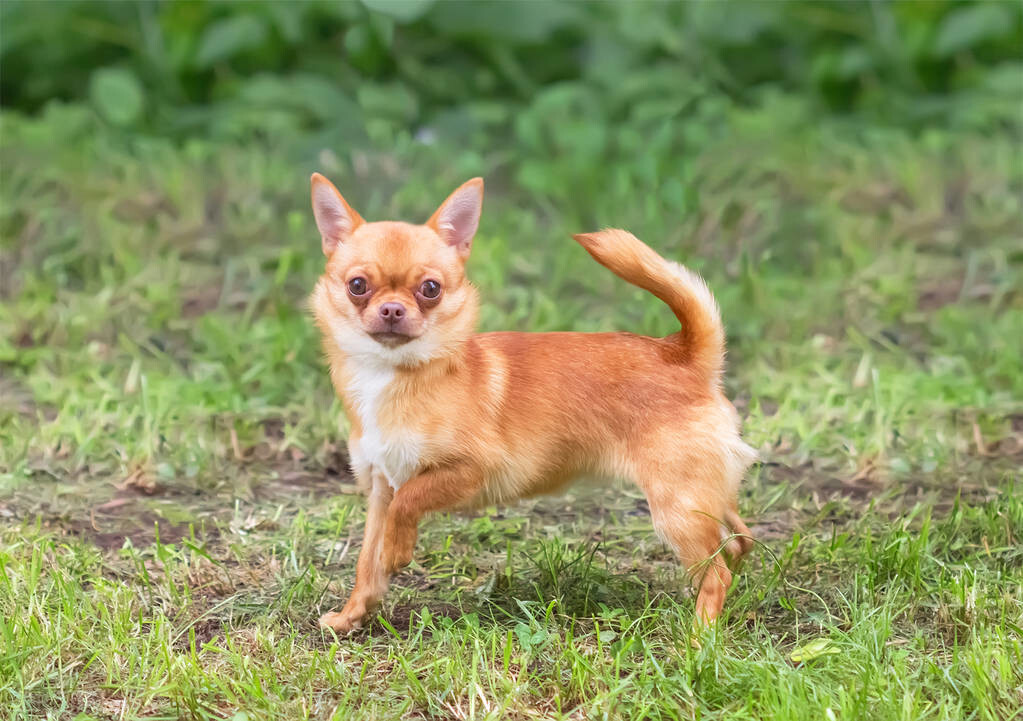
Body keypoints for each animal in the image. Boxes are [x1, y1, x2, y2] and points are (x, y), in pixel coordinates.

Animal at [306, 173, 757, 634]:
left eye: (430, 289)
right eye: (357, 286)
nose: (393, 309)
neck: (396, 373)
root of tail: (684, 354)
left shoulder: (471, 470)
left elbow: (408, 502)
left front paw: (397, 553)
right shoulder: (380, 487)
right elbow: (367, 563)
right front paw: (351, 616)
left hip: (676, 508)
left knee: (718, 570)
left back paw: (699, 634)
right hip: (704, 499)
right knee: (739, 543)